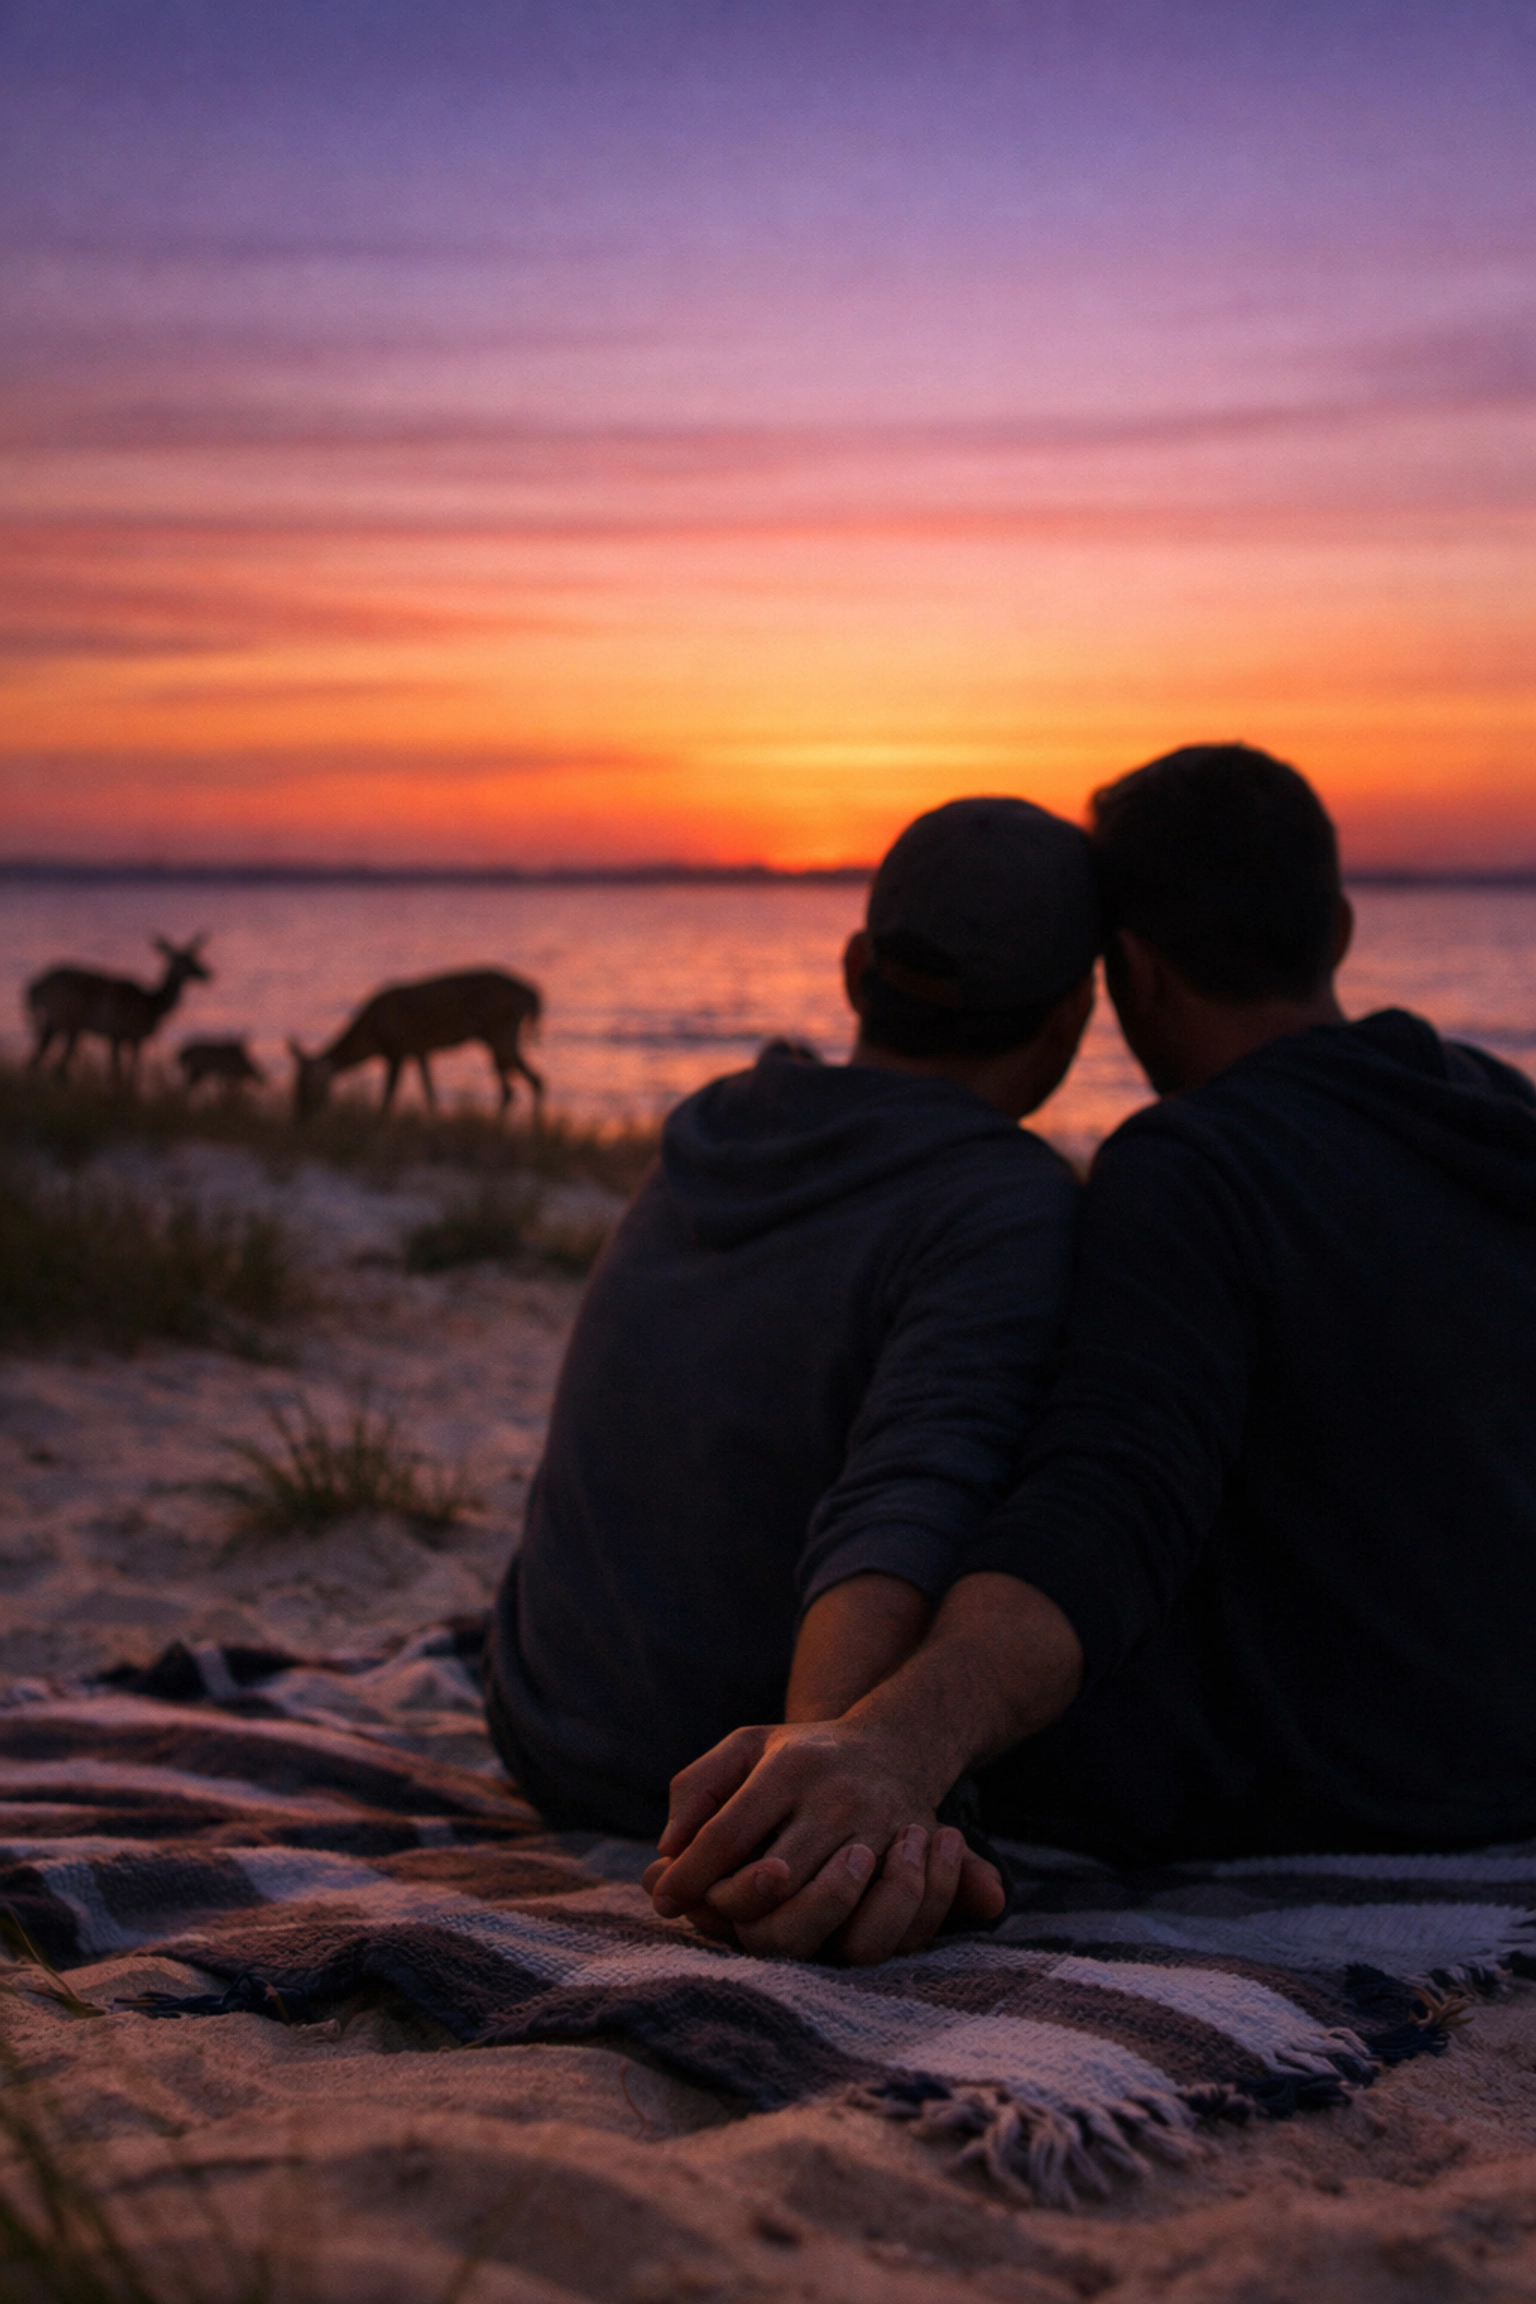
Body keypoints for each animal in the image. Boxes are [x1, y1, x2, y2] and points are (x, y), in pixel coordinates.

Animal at [26, 935, 212, 1082]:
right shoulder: (131, 1035)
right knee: (56, 1066)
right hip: (68, 1020)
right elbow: (126, 1074)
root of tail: (35, 988)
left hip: (56, 1023)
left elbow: (118, 1073)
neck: (152, 1006)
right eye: (186, 959)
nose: (207, 972)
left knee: (38, 1059)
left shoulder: (117, 1036)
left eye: (193, 956)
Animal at [289, 968, 544, 1121]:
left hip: (500, 1033)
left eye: (304, 1085)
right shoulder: (421, 1050)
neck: (371, 1038)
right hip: (502, 1037)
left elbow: (388, 1095)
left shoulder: (397, 1049)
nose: (299, 1118)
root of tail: (532, 995)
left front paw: (378, 1128)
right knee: (530, 1082)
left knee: (513, 1088)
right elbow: (429, 1092)